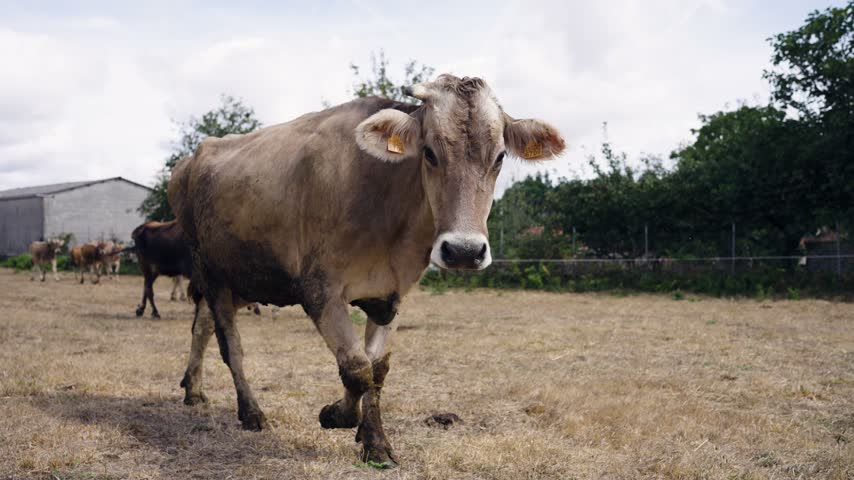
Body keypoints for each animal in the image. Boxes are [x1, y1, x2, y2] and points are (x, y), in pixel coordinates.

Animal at [168, 74, 565, 467]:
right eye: (429, 152)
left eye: (499, 157)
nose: (464, 250)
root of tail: (193, 157)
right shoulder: (319, 290)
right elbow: (356, 368)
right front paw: (335, 415)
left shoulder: (391, 297)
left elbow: (376, 370)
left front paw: (375, 443)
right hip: (211, 275)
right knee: (230, 346)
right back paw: (250, 412)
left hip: (241, 279)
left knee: (202, 328)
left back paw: (194, 389)